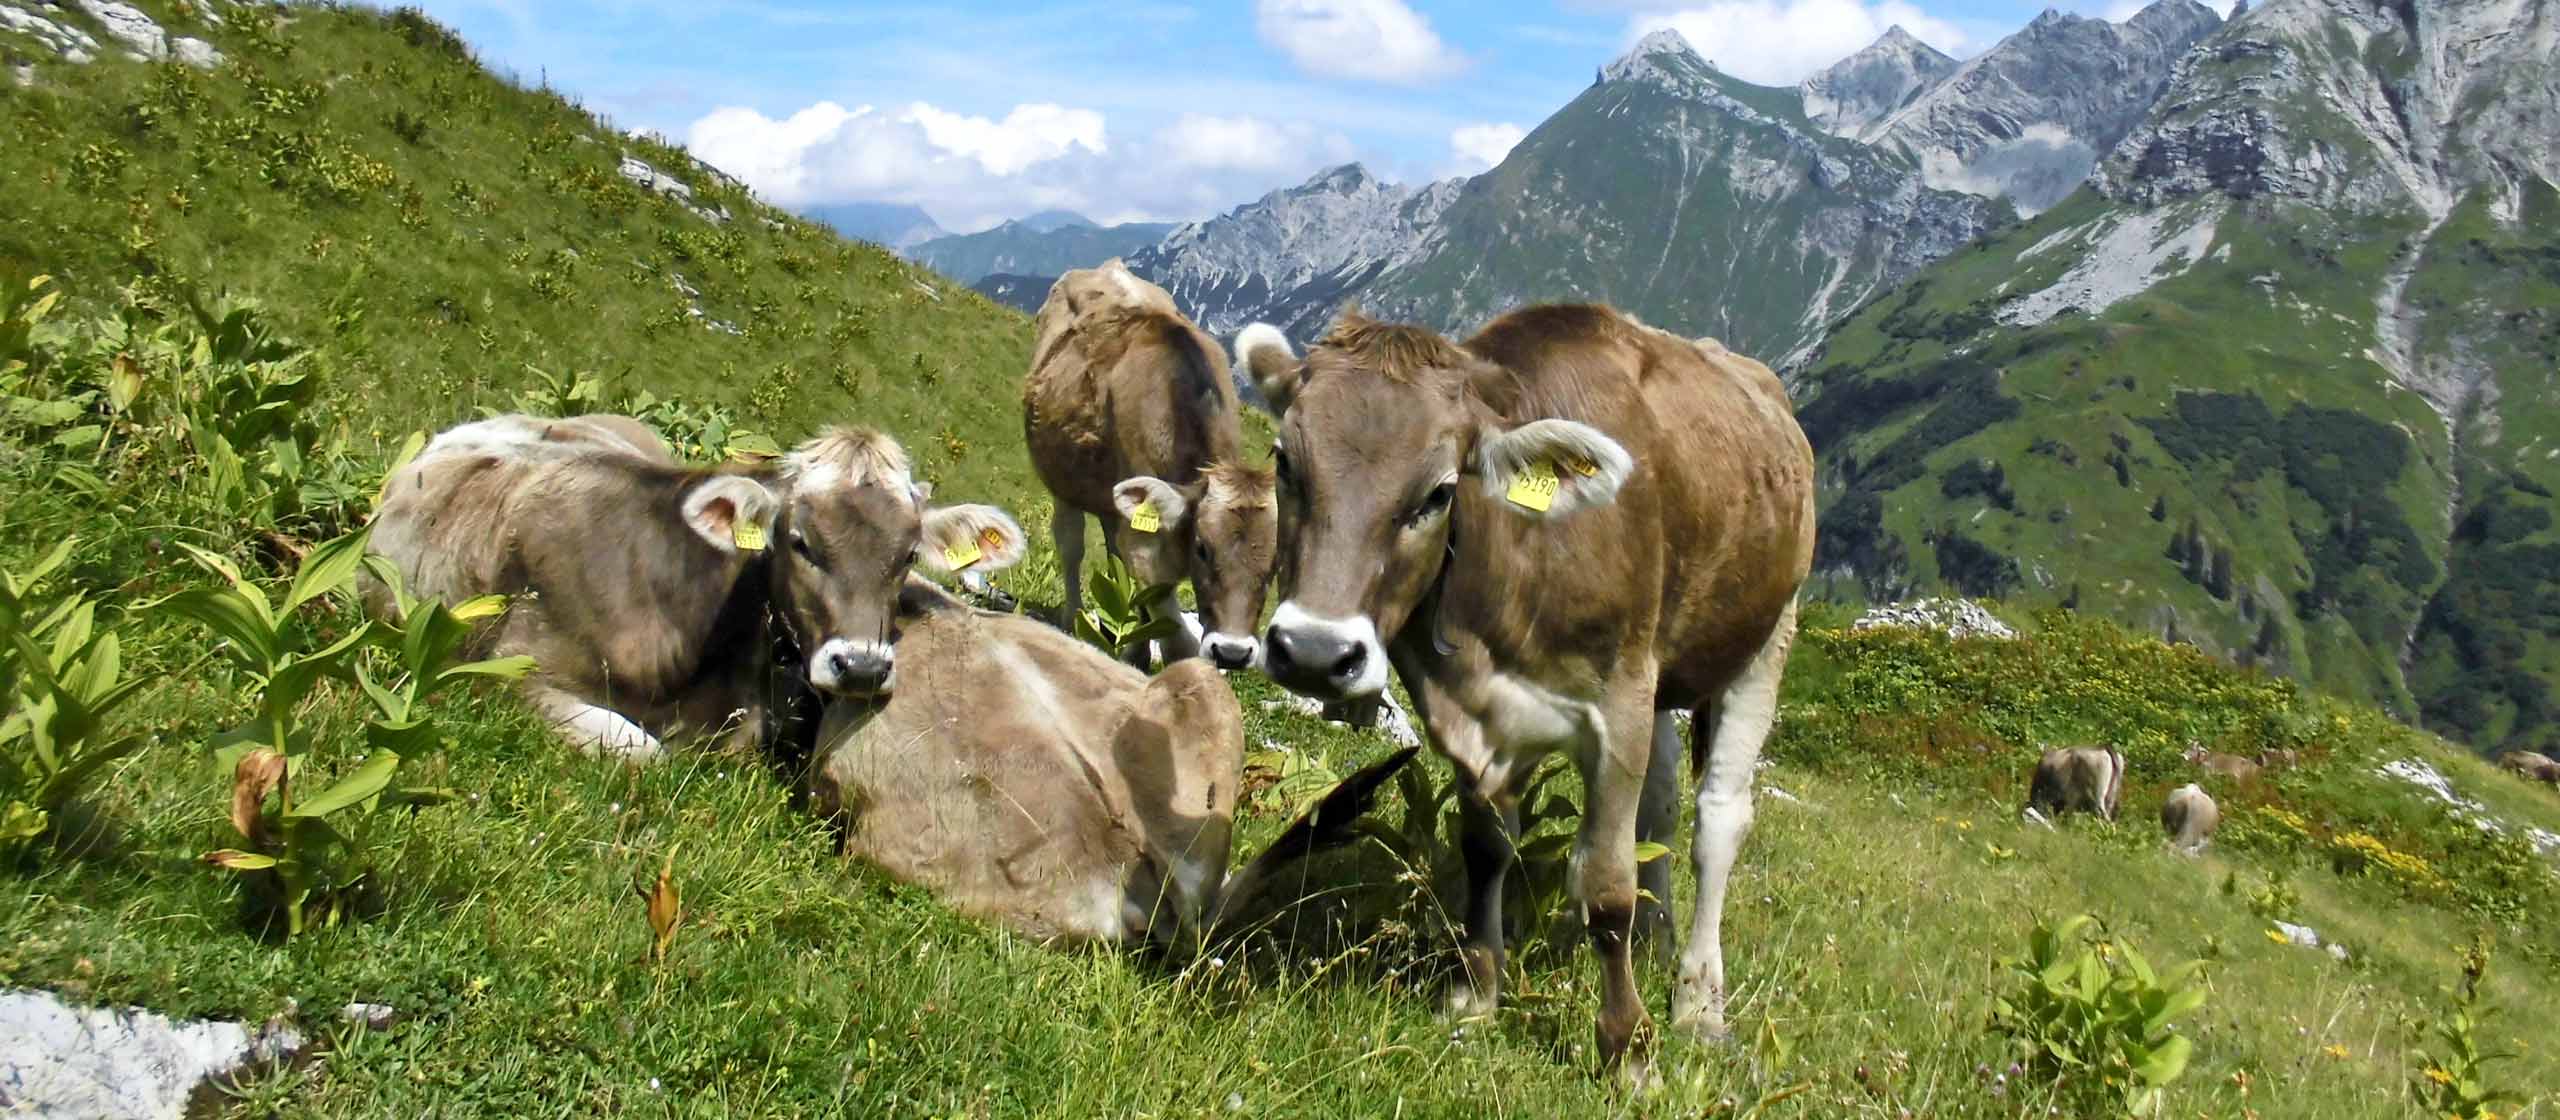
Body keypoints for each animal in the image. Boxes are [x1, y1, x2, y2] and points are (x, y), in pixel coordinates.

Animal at [1024, 259, 1277, 670]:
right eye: (1203, 548)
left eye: (1275, 564)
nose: (1234, 652)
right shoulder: (1146, 542)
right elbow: (1175, 636)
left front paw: (1137, 652)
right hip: (1060, 475)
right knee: (1071, 544)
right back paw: (1073, 618)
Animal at [1232, 304, 1816, 1069]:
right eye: (1284, 462)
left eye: (1439, 492)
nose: (1313, 652)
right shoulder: (1469, 714)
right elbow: (1486, 848)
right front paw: (1477, 994)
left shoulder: (1620, 703)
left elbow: (1606, 885)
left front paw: (1627, 1048)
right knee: (1660, 806)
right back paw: (1658, 941)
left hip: (1768, 631)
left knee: (1718, 819)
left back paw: (1696, 1000)